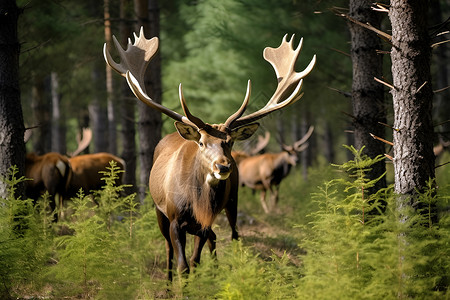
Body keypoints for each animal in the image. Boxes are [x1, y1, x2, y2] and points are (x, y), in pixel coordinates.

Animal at [104, 28, 316, 282]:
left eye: (230, 142)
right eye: (202, 143)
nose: (223, 166)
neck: (197, 203)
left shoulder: (205, 221)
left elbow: (195, 260)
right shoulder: (175, 219)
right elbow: (182, 265)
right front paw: (180, 284)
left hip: (232, 200)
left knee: (231, 235)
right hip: (158, 209)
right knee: (168, 248)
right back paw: (169, 282)